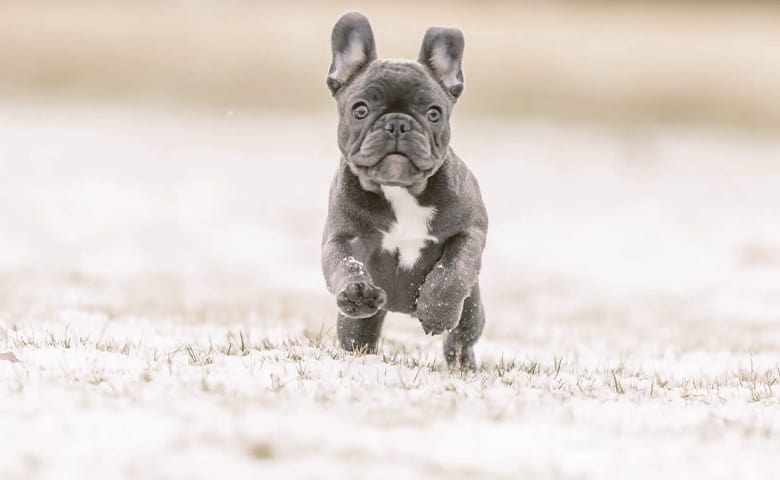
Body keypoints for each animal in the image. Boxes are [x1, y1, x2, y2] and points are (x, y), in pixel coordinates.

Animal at [318, 13, 488, 370]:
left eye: (434, 113)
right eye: (360, 110)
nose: (398, 124)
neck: (399, 191)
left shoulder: (470, 231)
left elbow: (452, 271)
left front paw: (437, 311)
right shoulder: (342, 237)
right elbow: (344, 263)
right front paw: (356, 291)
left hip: (472, 310)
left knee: (461, 337)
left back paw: (462, 364)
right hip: (356, 326)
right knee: (358, 337)